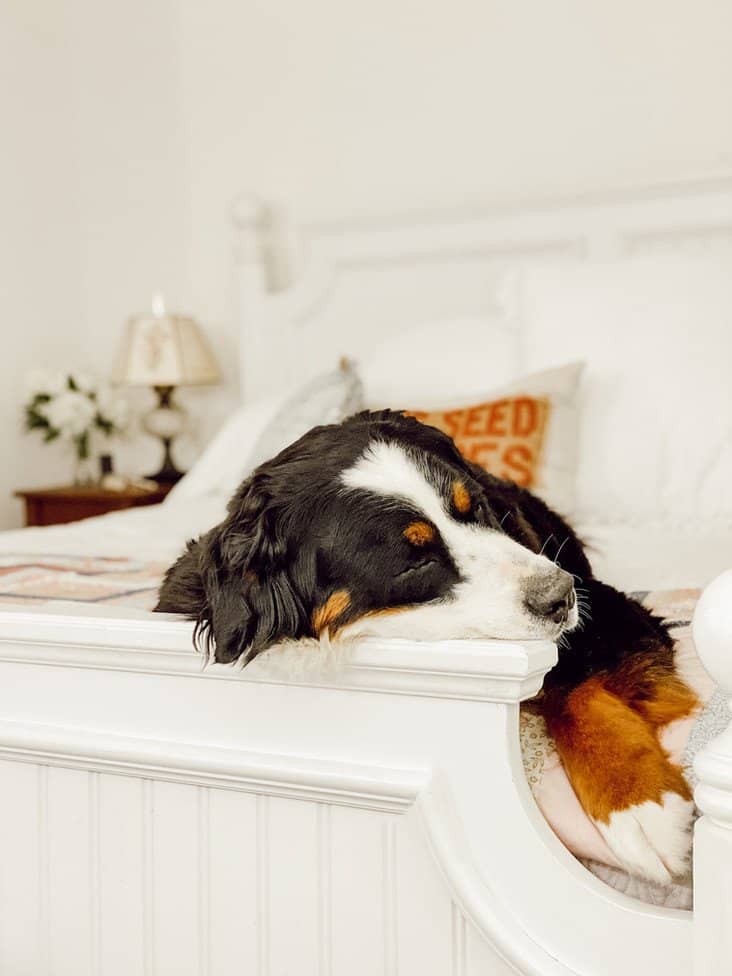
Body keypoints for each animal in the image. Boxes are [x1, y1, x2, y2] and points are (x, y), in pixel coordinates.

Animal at [159, 408, 696, 888]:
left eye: (474, 507)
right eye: (414, 562)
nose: (559, 595)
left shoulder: (605, 605)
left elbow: (574, 685)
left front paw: (640, 804)